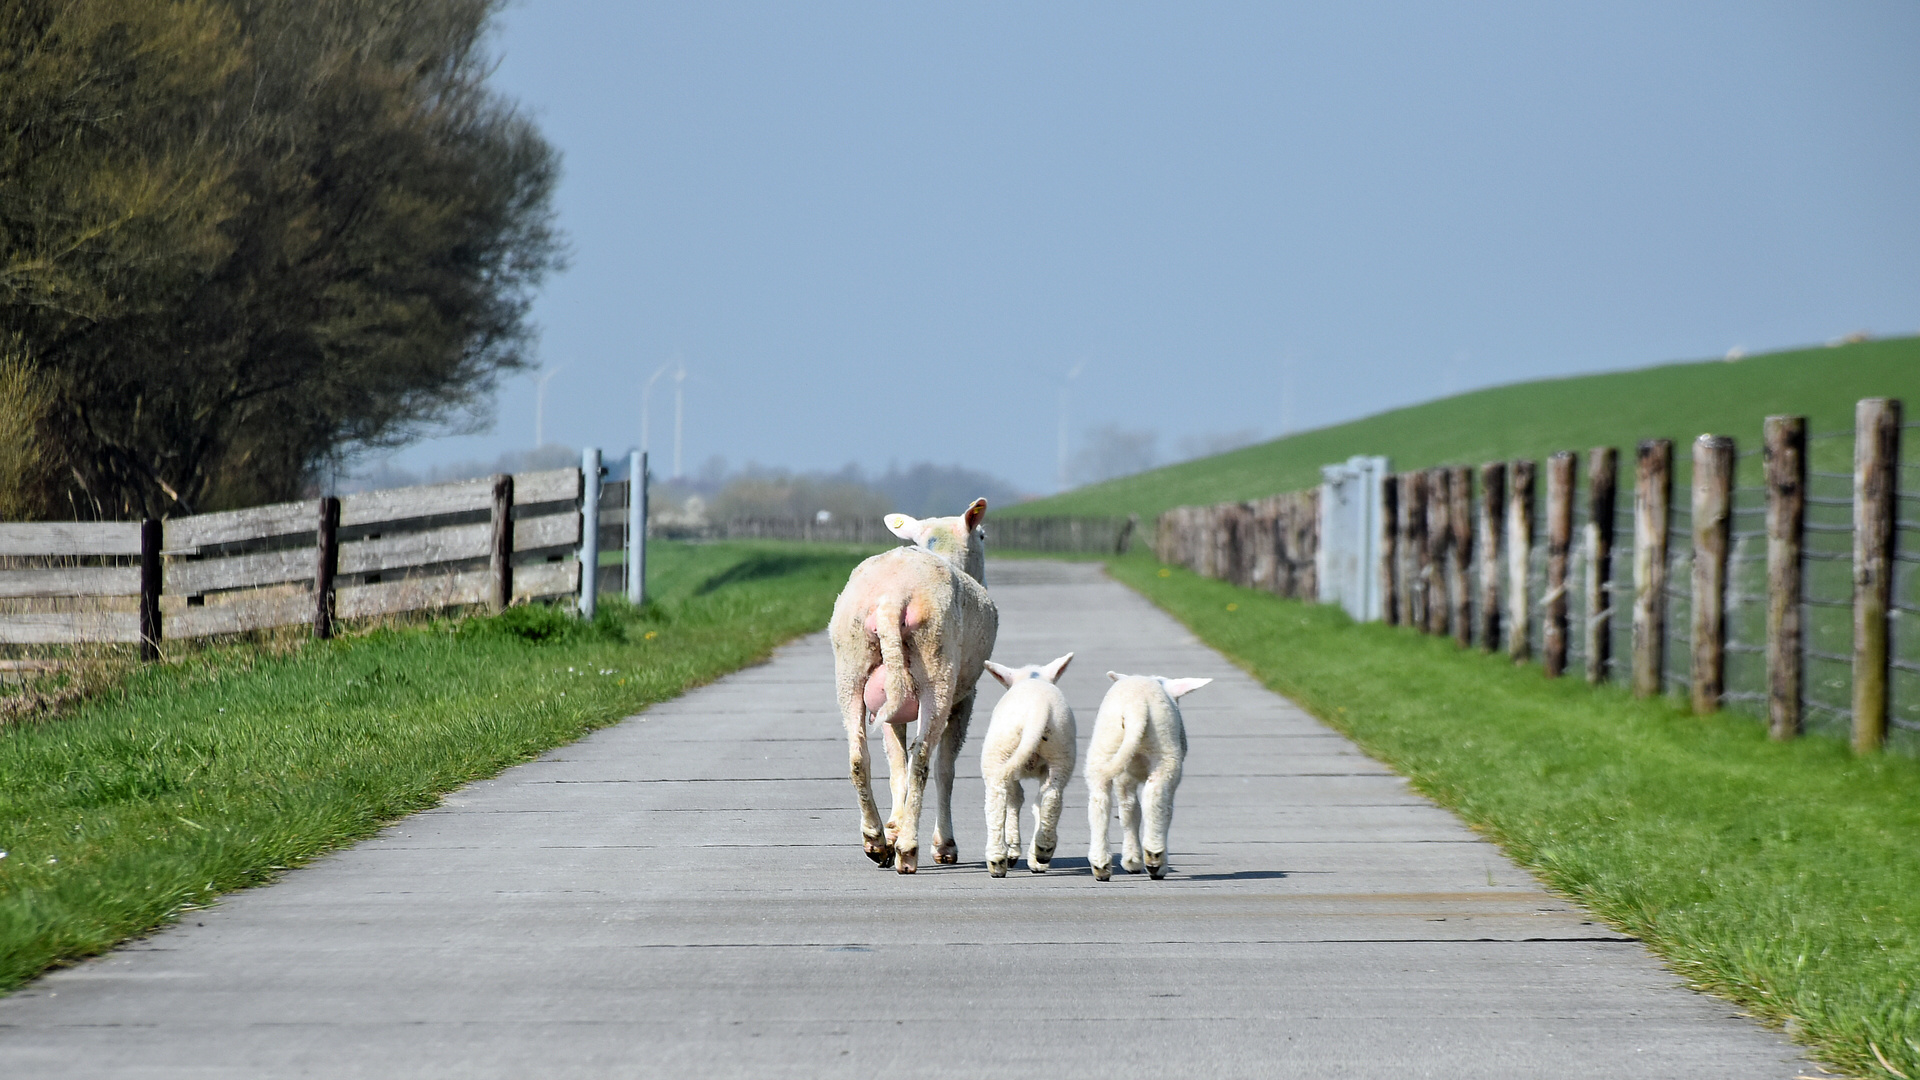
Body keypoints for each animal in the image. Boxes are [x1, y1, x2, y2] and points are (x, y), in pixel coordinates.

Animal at [829, 495, 998, 864]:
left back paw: (876, 839)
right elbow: (945, 769)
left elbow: (896, 765)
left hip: (852, 664)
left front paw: (893, 827)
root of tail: (892, 597)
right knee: (922, 759)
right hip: (937, 666)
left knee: (859, 756)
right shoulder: (966, 696)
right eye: (982, 536)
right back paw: (908, 849)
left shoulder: (891, 705)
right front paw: (943, 844)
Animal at [983, 645, 1075, 876]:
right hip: (1061, 750)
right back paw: (1043, 850)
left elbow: (1015, 798)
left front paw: (1013, 850)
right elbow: (1034, 803)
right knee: (1051, 795)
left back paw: (997, 860)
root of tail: (1038, 708)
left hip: (999, 749)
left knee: (997, 796)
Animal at [1082, 668, 1213, 880]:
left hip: (1105, 746)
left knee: (1100, 801)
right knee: (1155, 798)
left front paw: (1131, 860)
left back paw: (1100, 864)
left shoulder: (1124, 776)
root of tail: (1136, 706)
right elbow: (1154, 810)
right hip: (1165, 753)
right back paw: (1155, 860)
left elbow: (1129, 811)